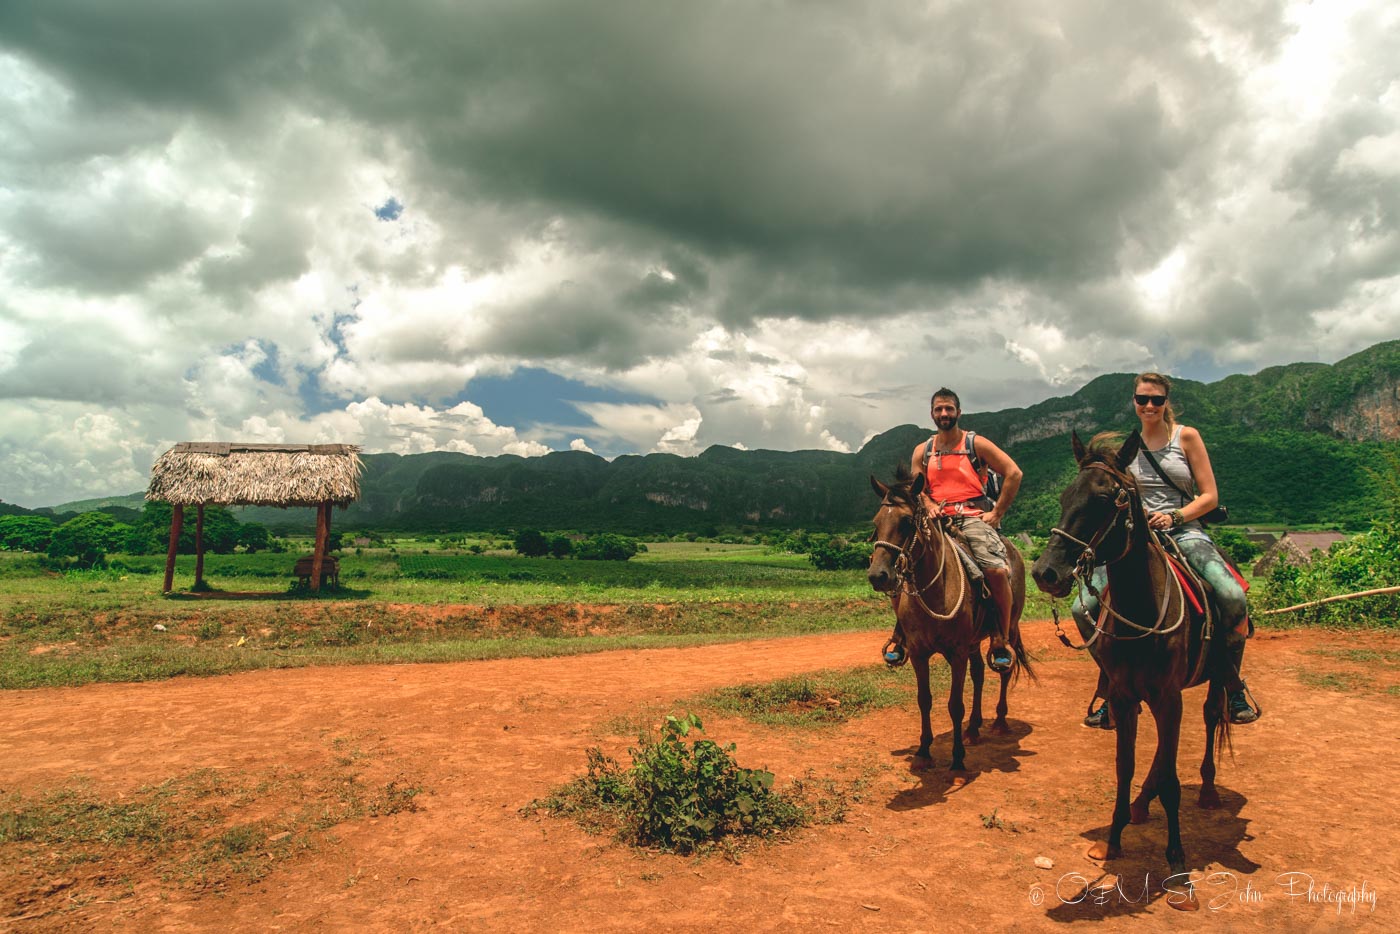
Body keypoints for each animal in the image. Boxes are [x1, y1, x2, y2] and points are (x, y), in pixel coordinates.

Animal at [862, 470, 1030, 772]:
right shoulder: (919, 653)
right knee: (979, 674)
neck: (935, 588)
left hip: (1007, 629)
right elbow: (924, 699)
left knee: (1004, 668)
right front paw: (924, 751)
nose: (878, 575)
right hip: (974, 642)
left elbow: (954, 704)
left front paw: (957, 757)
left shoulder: (958, 652)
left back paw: (999, 722)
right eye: (876, 523)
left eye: (906, 522)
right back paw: (973, 729)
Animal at [1030, 434, 1237, 912]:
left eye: (1107, 500)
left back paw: (1209, 789)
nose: (1046, 572)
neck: (1141, 608)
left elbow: (1173, 780)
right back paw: (1143, 804)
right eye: (1065, 497)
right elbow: (1125, 766)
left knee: (1212, 716)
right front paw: (1113, 838)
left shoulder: (1169, 698)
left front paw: (1178, 870)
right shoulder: (1125, 698)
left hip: (1214, 674)